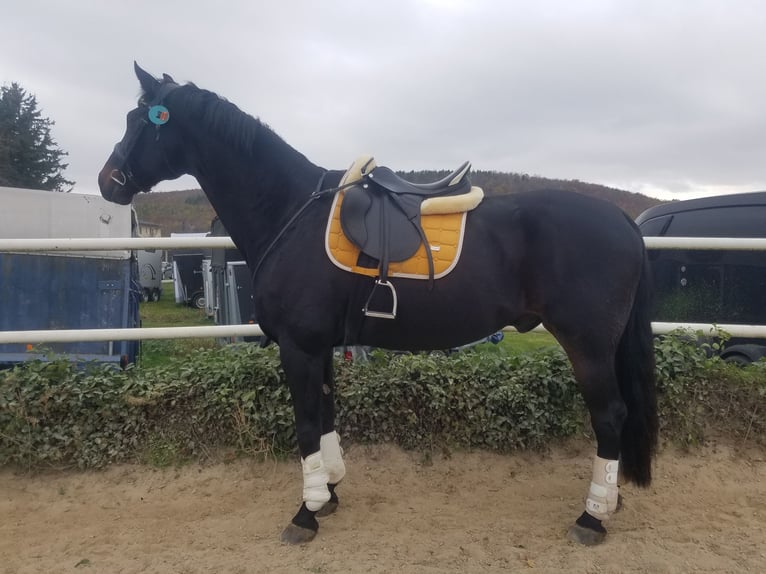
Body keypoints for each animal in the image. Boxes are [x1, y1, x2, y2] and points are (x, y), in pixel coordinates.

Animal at [99, 64, 656, 548]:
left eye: (140, 122)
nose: (108, 181)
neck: (290, 209)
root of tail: (623, 222)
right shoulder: (319, 347)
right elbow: (325, 415)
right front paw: (328, 493)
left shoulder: (299, 347)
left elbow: (306, 423)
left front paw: (305, 513)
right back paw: (610, 501)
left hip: (587, 345)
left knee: (610, 416)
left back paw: (592, 516)